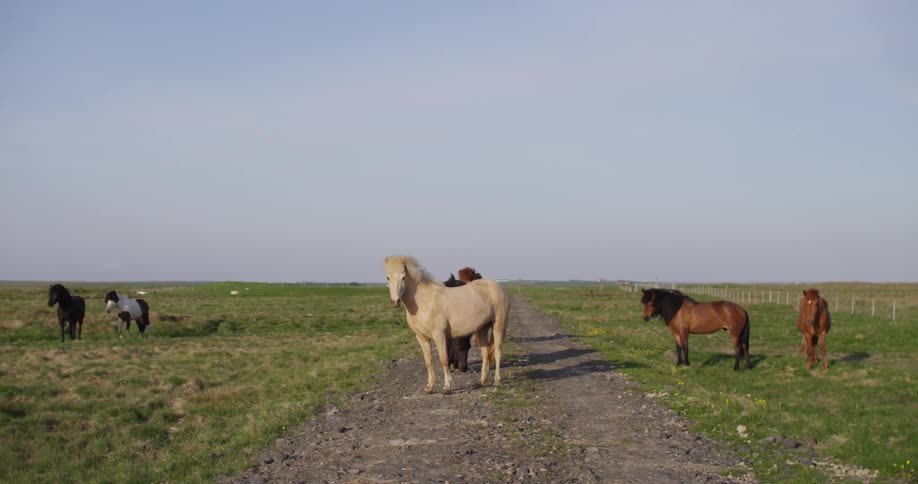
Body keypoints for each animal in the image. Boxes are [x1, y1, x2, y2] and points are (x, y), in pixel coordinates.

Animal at [384, 256, 510, 394]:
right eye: (388, 277)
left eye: (403, 277)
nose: (395, 301)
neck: (424, 301)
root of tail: (497, 287)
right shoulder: (422, 338)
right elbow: (428, 361)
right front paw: (429, 387)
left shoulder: (439, 335)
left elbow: (443, 359)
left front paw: (447, 386)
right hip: (482, 328)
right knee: (485, 352)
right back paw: (482, 381)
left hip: (498, 327)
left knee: (497, 351)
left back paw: (497, 381)